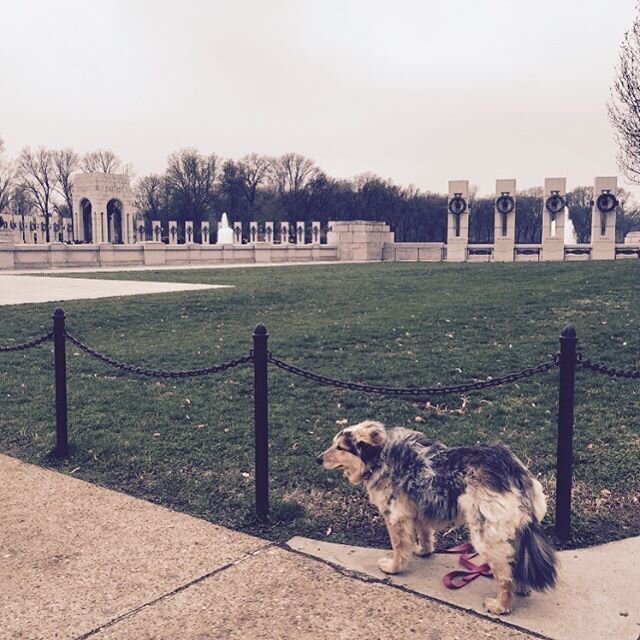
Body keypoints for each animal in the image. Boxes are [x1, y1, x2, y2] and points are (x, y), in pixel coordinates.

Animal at [318, 420, 556, 616]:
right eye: (334, 444)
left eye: (340, 448)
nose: (318, 459)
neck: (381, 456)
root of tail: (514, 472)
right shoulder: (419, 508)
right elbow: (424, 534)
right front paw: (424, 551)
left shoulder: (395, 517)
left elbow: (398, 547)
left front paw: (394, 568)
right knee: (519, 563)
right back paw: (521, 588)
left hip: (486, 536)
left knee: (506, 574)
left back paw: (501, 606)